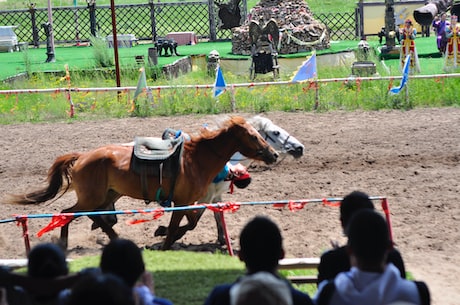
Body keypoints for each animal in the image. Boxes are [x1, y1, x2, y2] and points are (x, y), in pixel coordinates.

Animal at [6, 116, 276, 249]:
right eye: (254, 136)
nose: (273, 154)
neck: (196, 159)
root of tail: (82, 157)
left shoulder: (189, 202)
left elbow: (192, 222)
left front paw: (163, 232)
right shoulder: (181, 202)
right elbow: (181, 225)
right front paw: (164, 241)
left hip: (107, 195)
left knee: (88, 215)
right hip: (92, 197)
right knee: (69, 213)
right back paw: (68, 242)